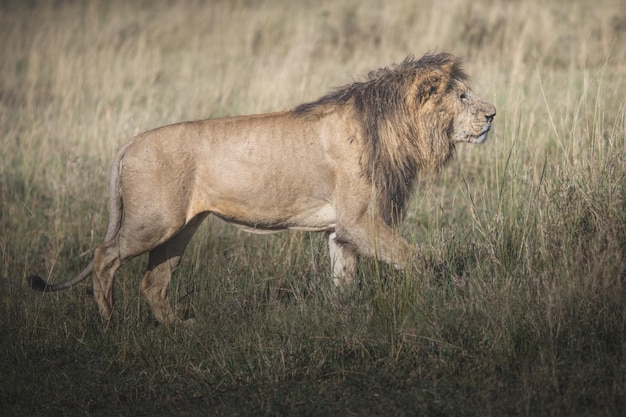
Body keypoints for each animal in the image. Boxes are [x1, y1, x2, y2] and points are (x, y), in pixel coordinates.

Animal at [26, 52, 494, 324]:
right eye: (463, 97)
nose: (493, 114)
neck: (396, 127)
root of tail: (129, 143)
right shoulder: (360, 221)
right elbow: (417, 259)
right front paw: (440, 297)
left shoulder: (341, 229)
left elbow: (344, 279)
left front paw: (342, 320)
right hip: (152, 221)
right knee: (104, 255)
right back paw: (109, 320)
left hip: (179, 229)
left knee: (152, 281)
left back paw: (177, 327)